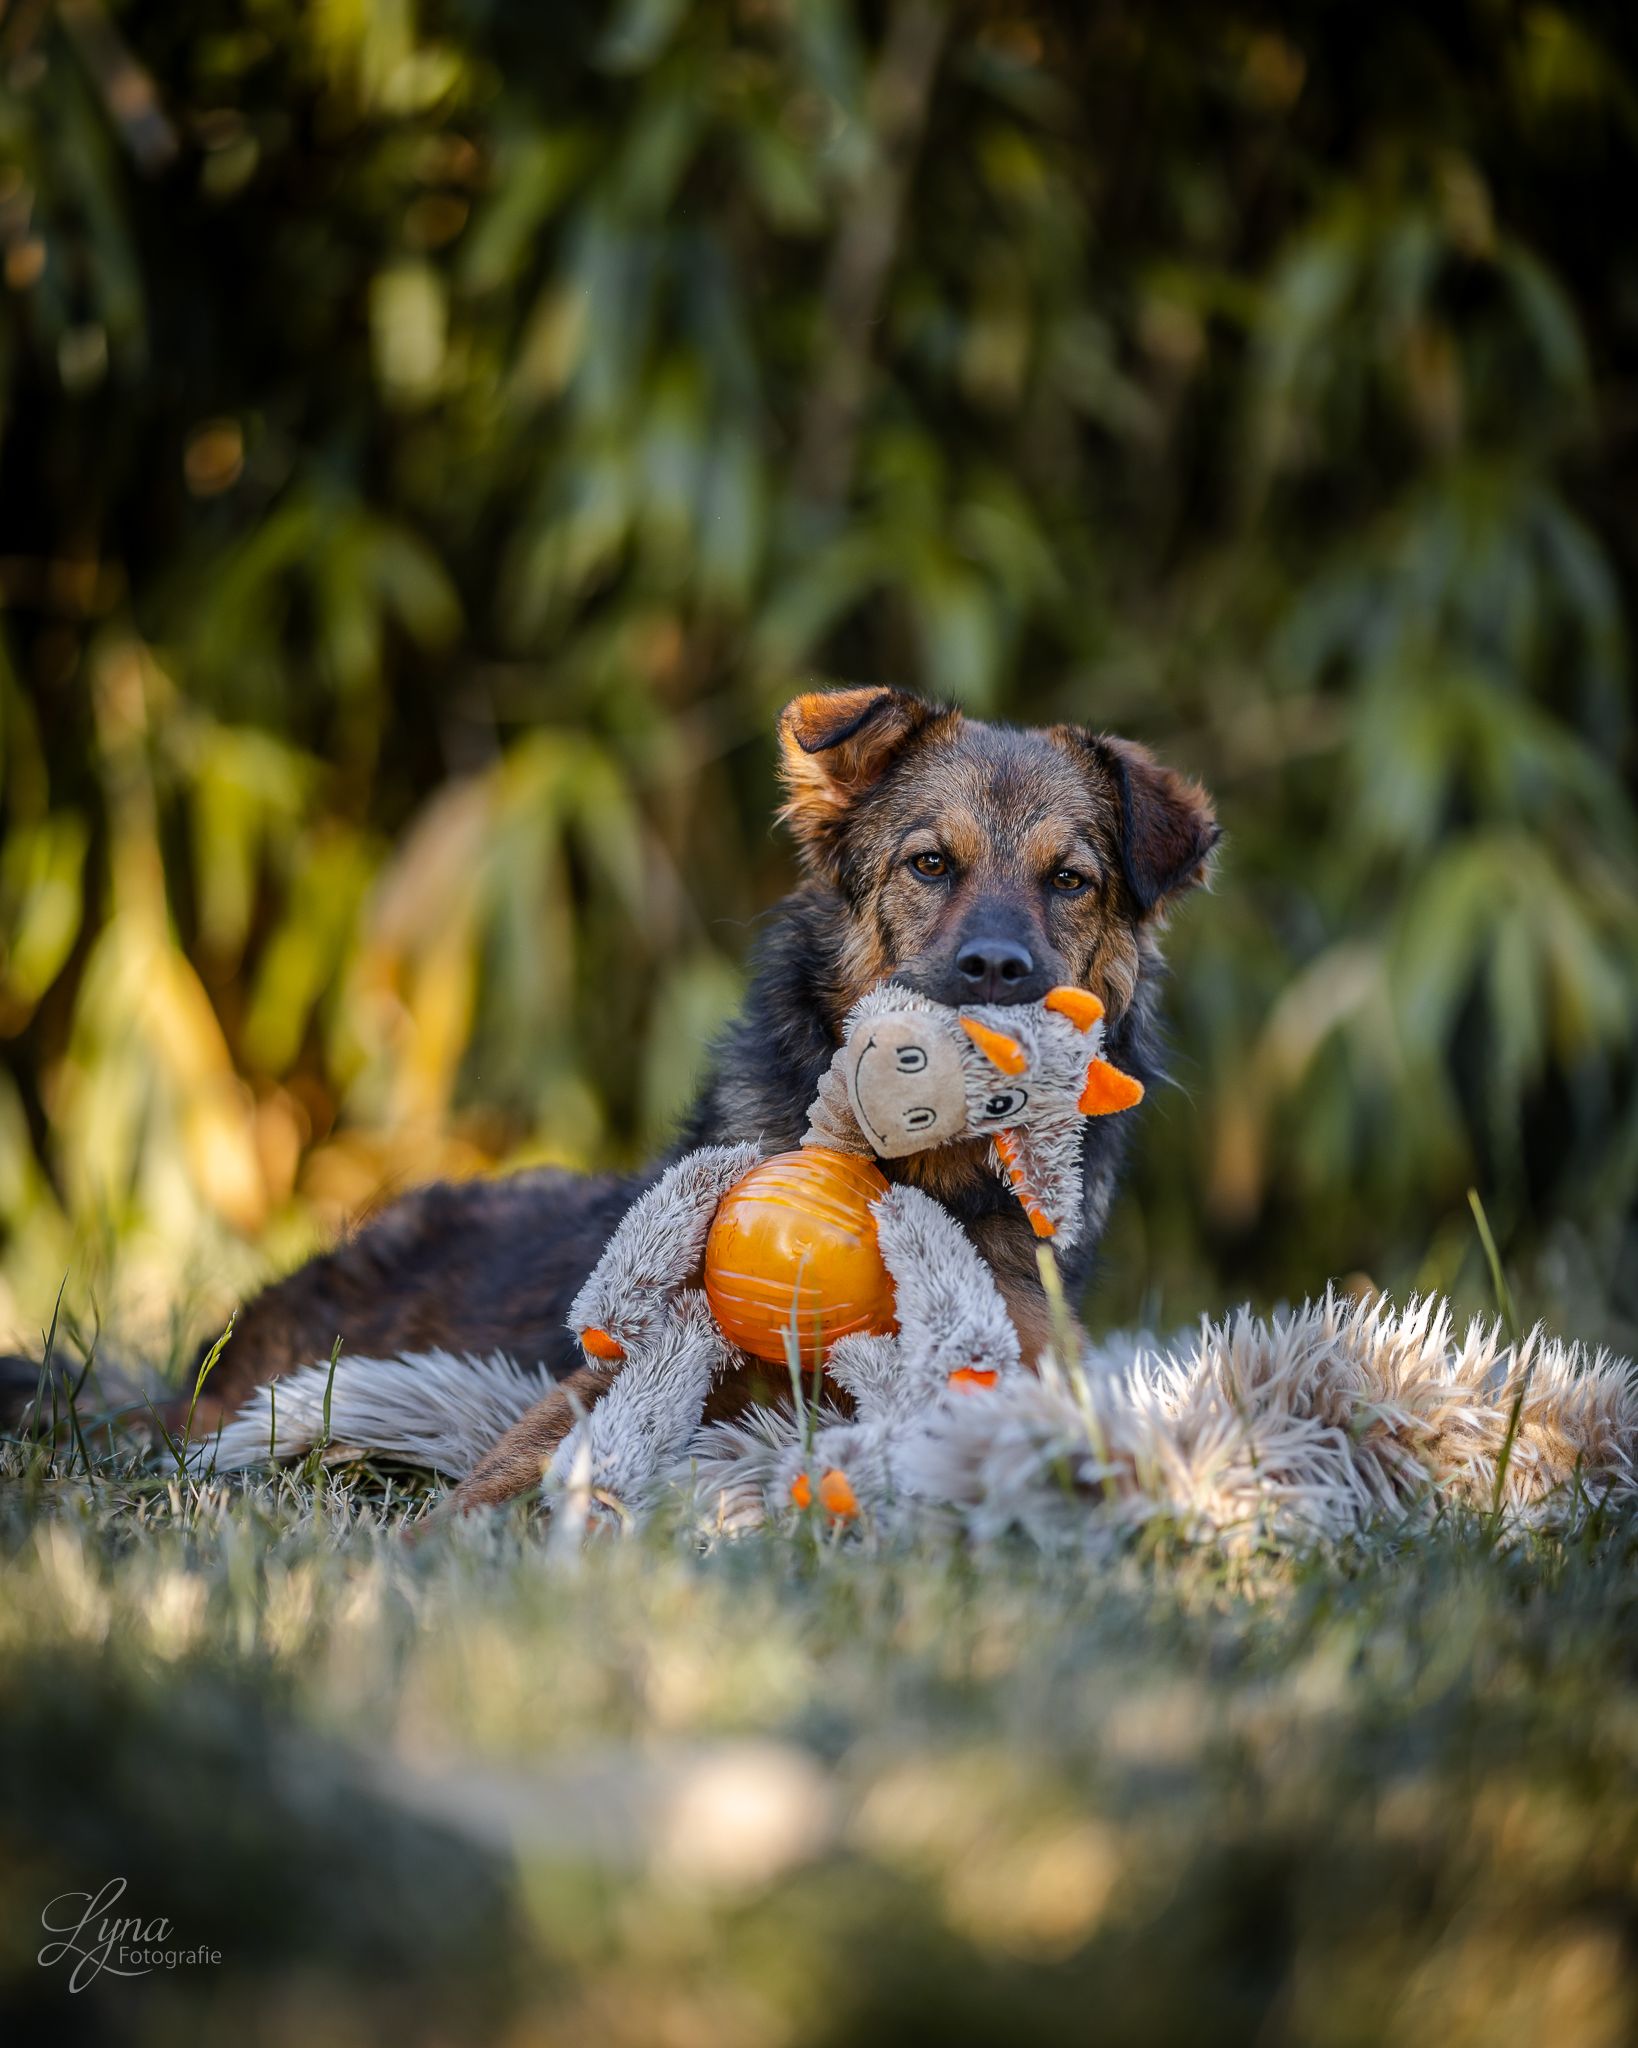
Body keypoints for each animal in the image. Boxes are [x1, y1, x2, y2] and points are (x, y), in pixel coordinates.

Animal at [12, 687, 1219, 1512]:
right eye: (929, 864)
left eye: (1071, 882)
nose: (999, 971)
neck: (913, 1176)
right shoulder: (620, 1374)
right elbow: (510, 1469)